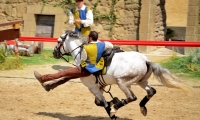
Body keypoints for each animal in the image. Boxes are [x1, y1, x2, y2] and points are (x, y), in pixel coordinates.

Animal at [52, 30, 190, 119]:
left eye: (59, 41)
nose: (54, 53)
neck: (81, 55)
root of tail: (146, 60)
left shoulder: (92, 87)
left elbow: (103, 103)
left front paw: (112, 110)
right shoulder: (100, 86)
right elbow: (99, 103)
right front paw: (113, 102)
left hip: (122, 82)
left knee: (132, 97)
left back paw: (116, 108)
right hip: (141, 81)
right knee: (151, 91)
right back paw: (142, 107)